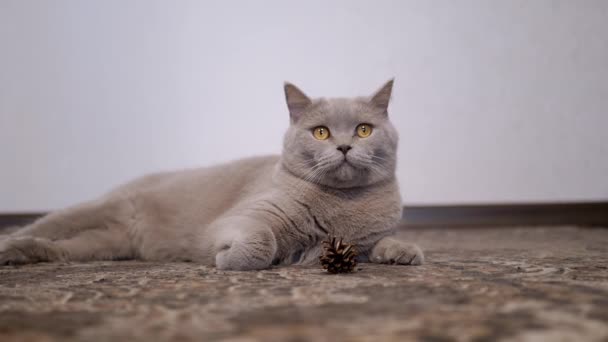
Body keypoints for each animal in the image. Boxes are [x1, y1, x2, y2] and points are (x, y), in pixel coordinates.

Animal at [1, 81, 422, 270]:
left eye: (364, 130)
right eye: (321, 132)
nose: (345, 146)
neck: (343, 205)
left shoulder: (363, 241)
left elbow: (382, 242)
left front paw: (404, 251)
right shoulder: (247, 217)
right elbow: (262, 240)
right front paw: (230, 258)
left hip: (103, 244)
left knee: (59, 248)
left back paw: (24, 254)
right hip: (94, 209)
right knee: (37, 226)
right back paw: (9, 247)